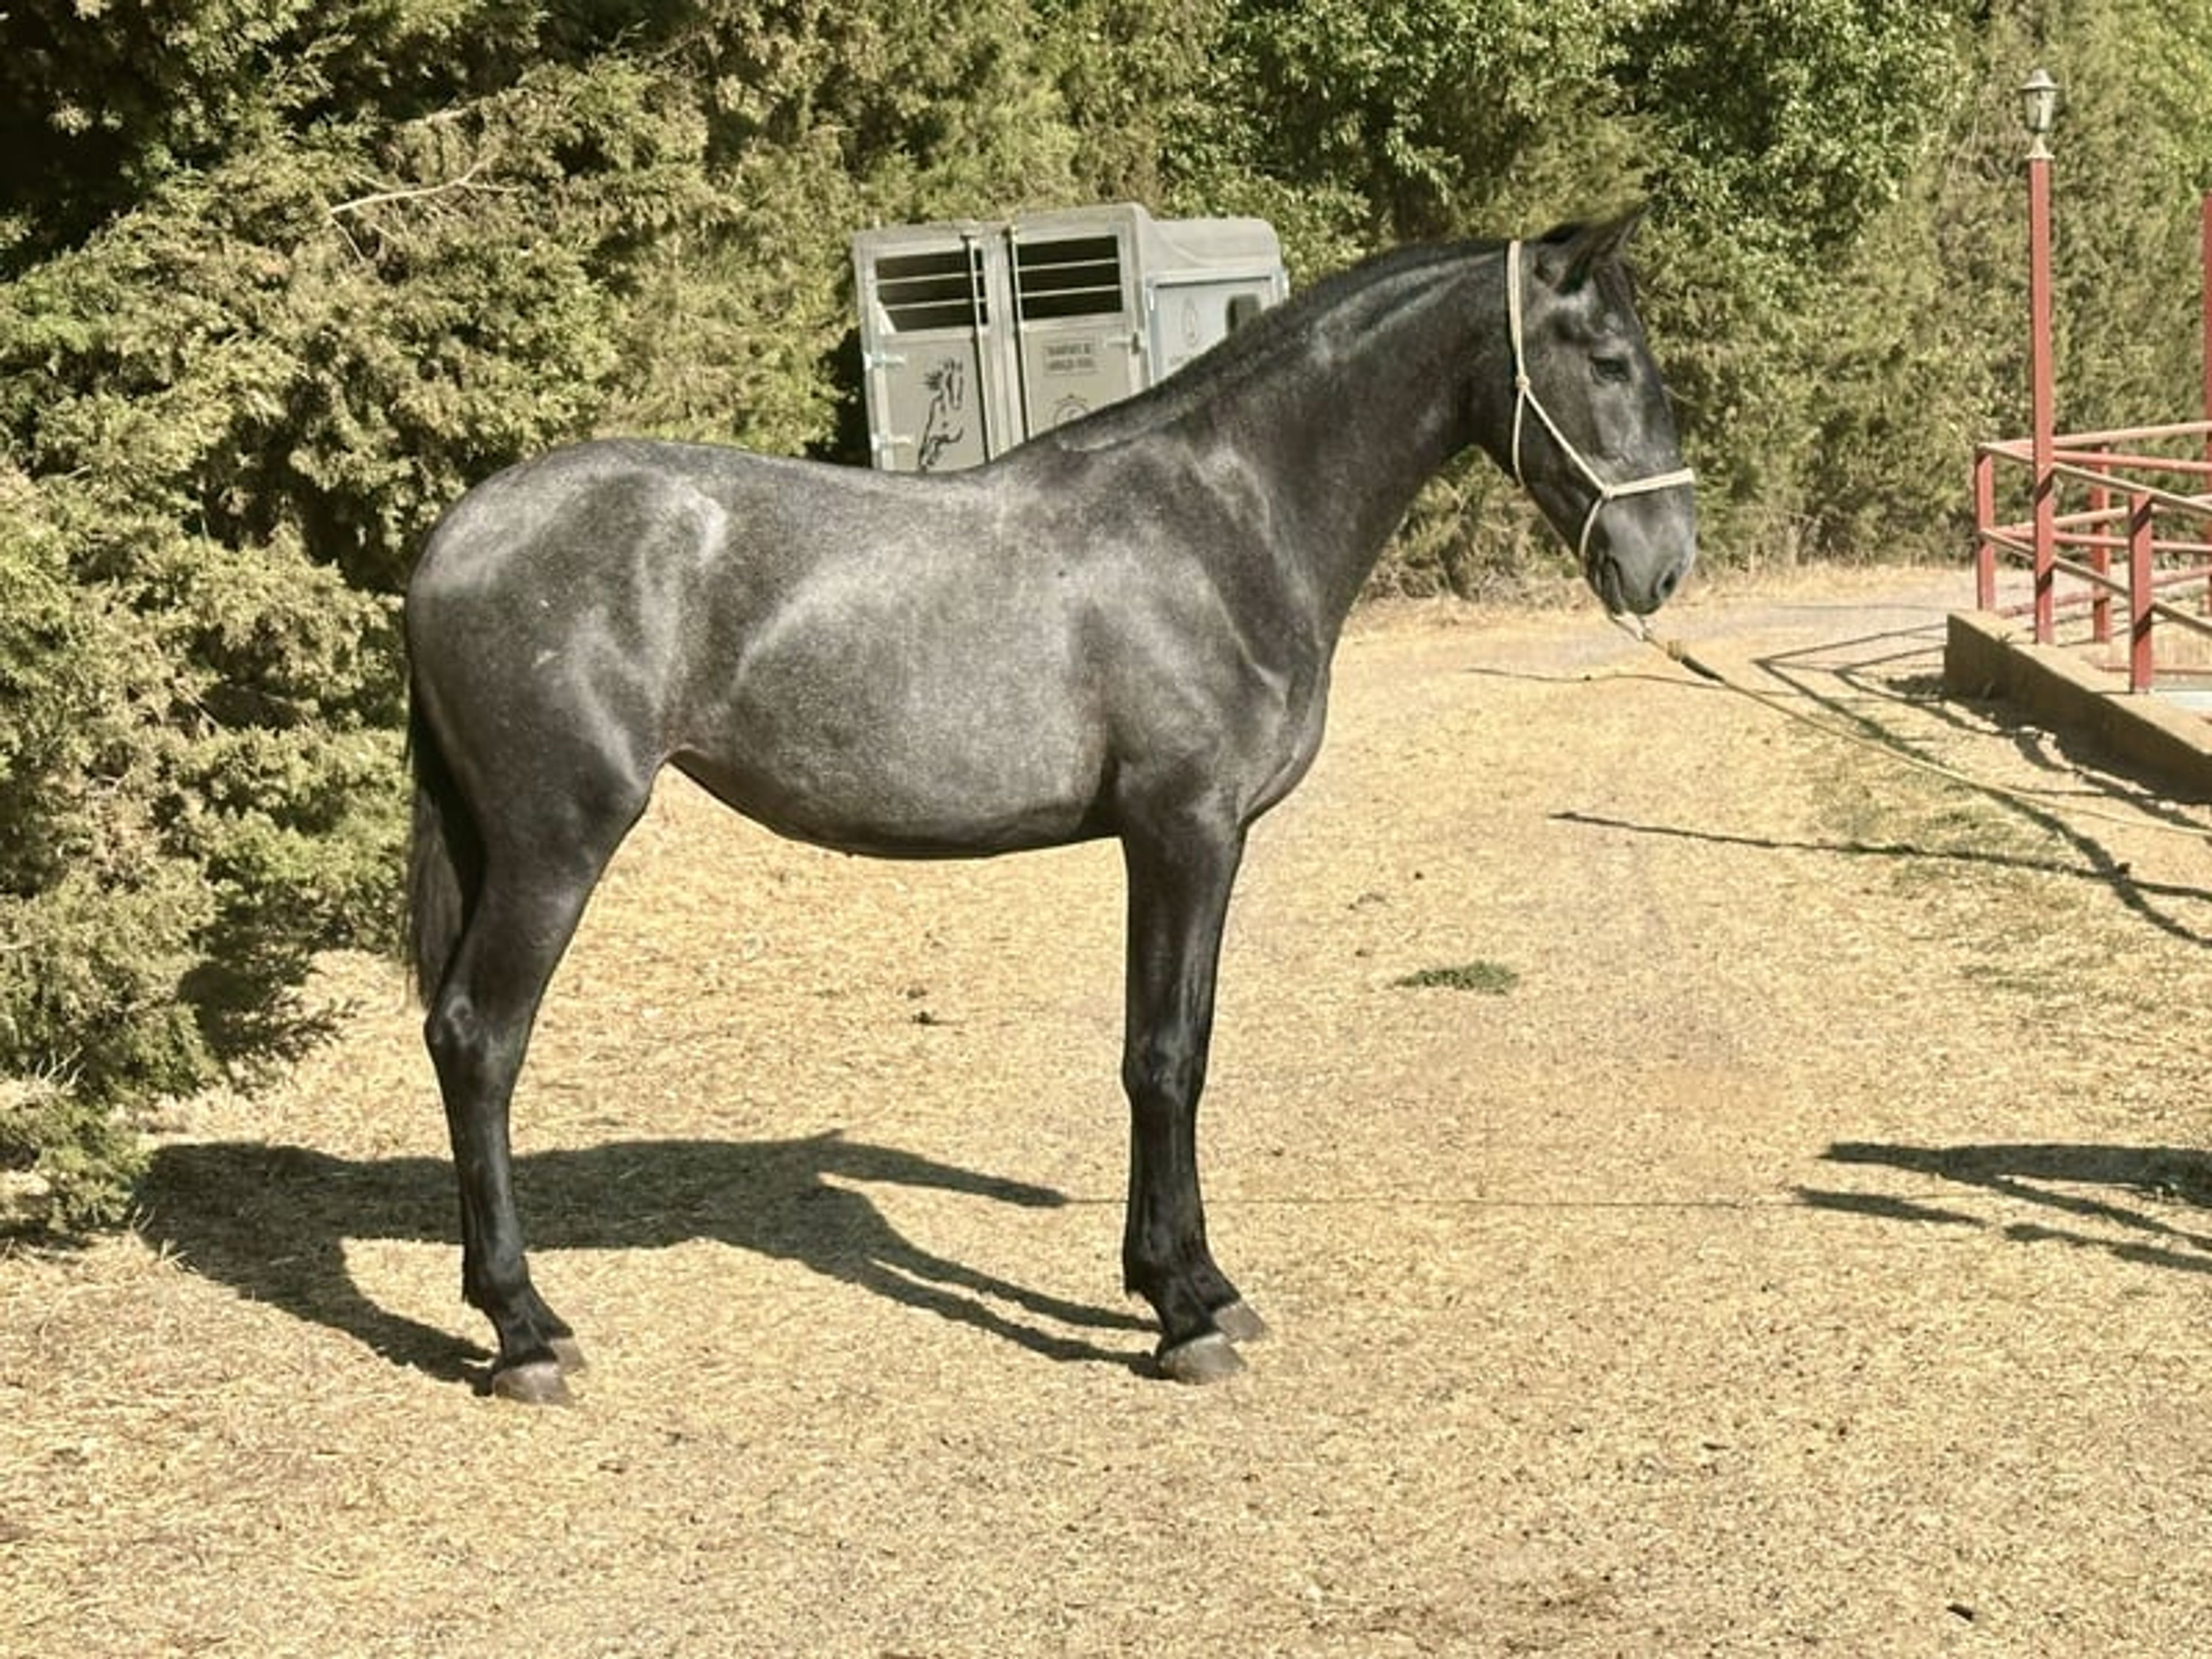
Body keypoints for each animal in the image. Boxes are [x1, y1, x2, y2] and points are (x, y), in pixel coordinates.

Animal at [404, 210, 1697, 1402]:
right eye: (1610, 362)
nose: (1667, 560)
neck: (1223, 525)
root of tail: (456, 536)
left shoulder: (1197, 843)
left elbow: (1186, 1045)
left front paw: (1198, 1281)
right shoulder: (1183, 832)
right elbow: (1163, 1058)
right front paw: (1181, 1315)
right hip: (555, 846)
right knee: (479, 1040)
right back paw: (524, 1333)